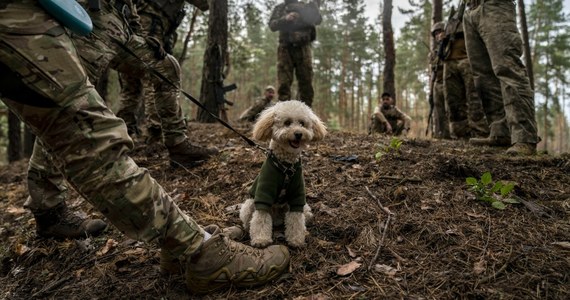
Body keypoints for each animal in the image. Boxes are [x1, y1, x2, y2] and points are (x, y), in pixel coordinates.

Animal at [239, 99, 326, 247]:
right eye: (287, 123)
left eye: (302, 123)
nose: (298, 133)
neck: (286, 166)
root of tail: (277, 217)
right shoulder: (264, 193)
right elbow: (261, 217)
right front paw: (261, 239)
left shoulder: (297, 195)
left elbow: (296, 219)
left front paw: (296, 239)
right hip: (249, 204)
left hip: (301, 207)